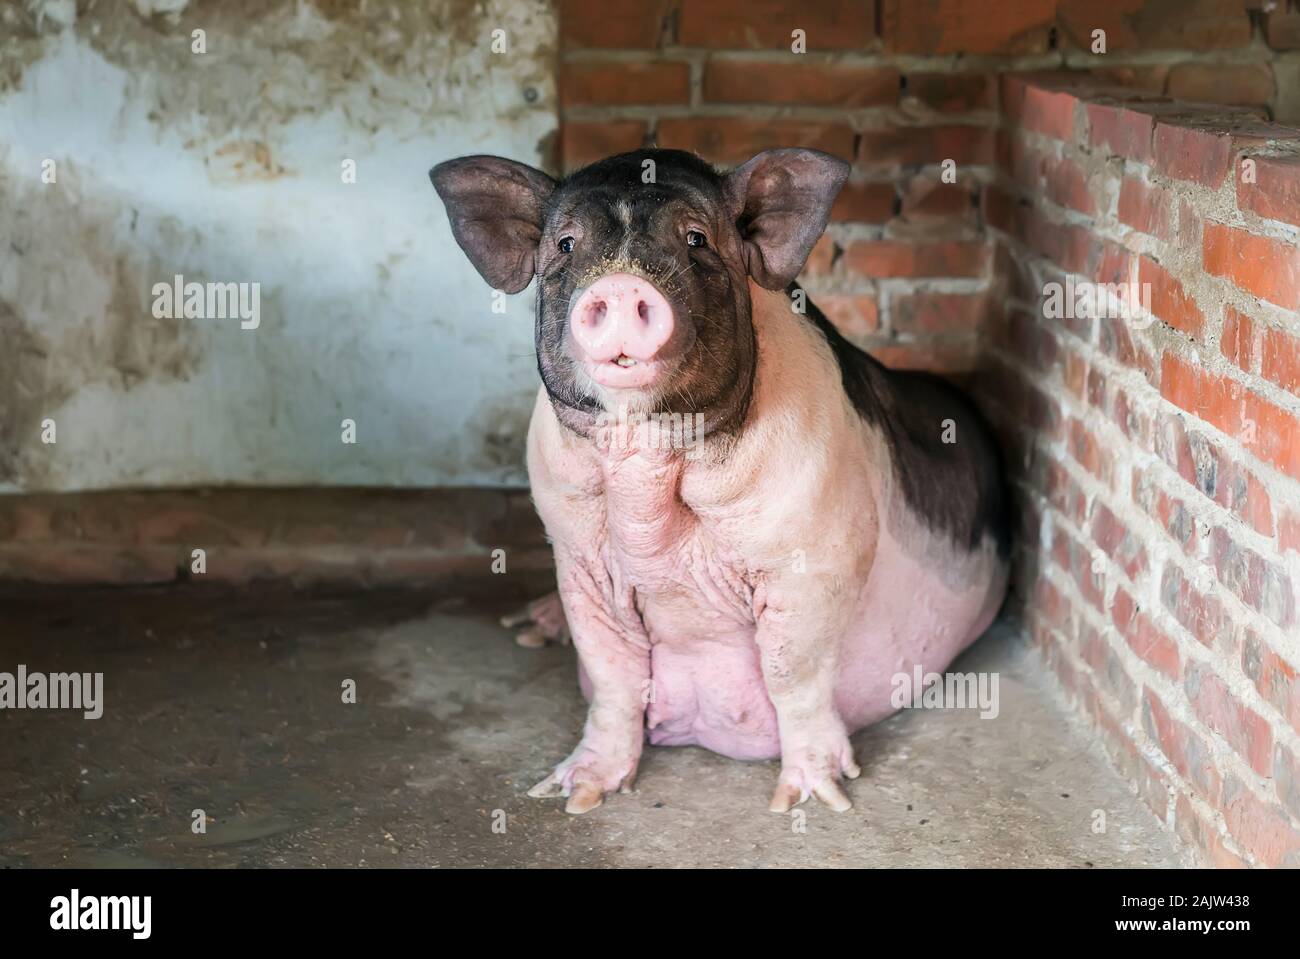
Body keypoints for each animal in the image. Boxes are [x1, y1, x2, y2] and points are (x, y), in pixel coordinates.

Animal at [431, 145, 1008, 810]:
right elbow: (611, 672)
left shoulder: (818, 556)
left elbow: (793, 672)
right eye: (567, 244)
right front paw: (572, 794)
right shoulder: (577, 556)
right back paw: (528, 629)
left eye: (697, 238)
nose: (620, 283)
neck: (647, 467)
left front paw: (812, 799)